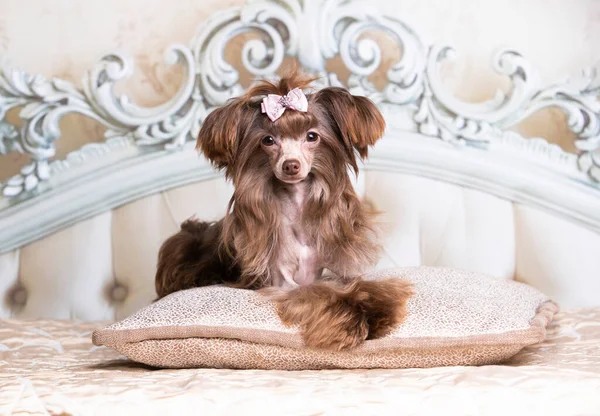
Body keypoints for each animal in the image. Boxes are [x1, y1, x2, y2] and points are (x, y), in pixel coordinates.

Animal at [155, 71, 412, 352]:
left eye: (312, 136)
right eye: (268, 140)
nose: (291, 165)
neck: (297, 212)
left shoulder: (318, 271)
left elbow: (351, 283)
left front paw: (379, 307)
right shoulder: (283, 282)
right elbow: (319, 293)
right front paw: (351, 320)